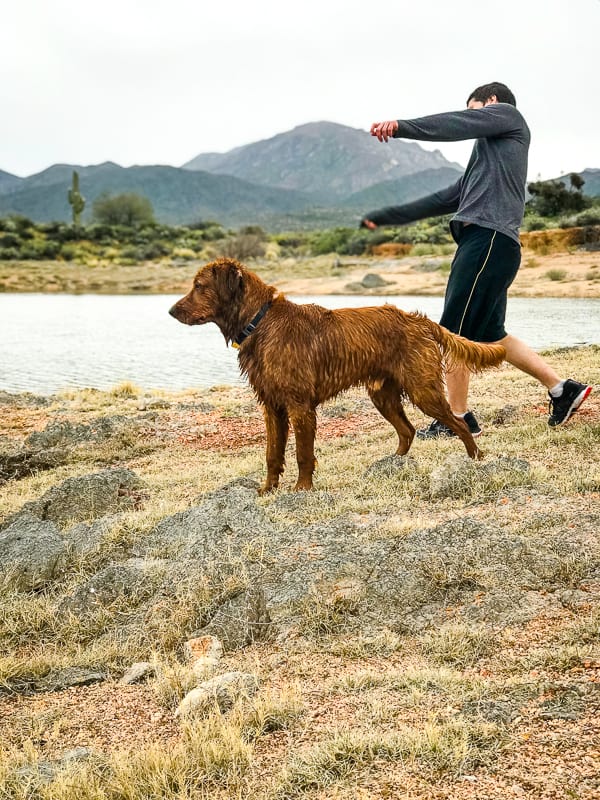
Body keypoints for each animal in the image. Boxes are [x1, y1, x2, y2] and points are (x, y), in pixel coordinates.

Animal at [170, 260, 506, 490]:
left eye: (199, 286)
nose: (172, 311)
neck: (260, 321)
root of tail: (418, 320)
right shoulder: (272, 407)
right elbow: (272, 454)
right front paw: (268, 490)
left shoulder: (300, 406)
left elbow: (303, 454)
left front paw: (301, 489)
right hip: (383, 395)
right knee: (407, 430)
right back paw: (394, 463)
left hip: (423, 390)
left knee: (458, 424)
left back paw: (475, 458)